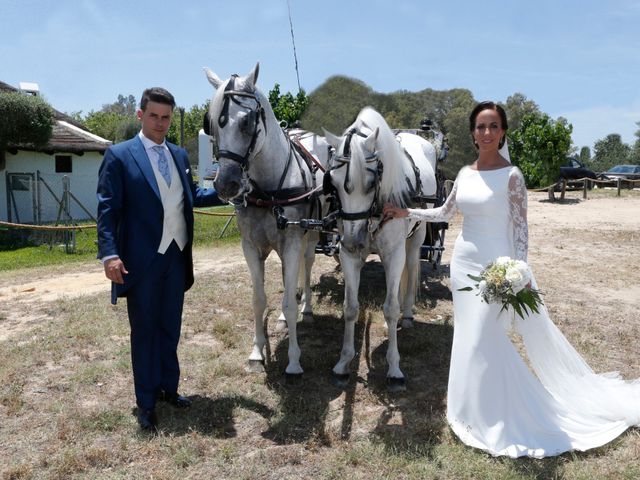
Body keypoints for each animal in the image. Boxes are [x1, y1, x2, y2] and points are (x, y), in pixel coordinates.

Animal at [204, 63, 330, 376]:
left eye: (247, 120)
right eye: (210, 122)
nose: (225, 184)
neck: (269, 190)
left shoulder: (293, 241)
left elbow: (287, 301)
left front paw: (294, 361)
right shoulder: (250, 247)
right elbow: (259, 300)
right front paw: (256, 352)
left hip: (310, 235)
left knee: (307, 265)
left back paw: (306, 308)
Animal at [322, 107, 438, 392]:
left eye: (372, 183)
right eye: (333, 183)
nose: (354, 241)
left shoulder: (393, 255)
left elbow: (391, 308)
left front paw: (394, 369)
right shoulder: (348, 256)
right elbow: (351, 308)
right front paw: (343, 364)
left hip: (416, 237)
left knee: (411, 268)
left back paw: (407, 316)